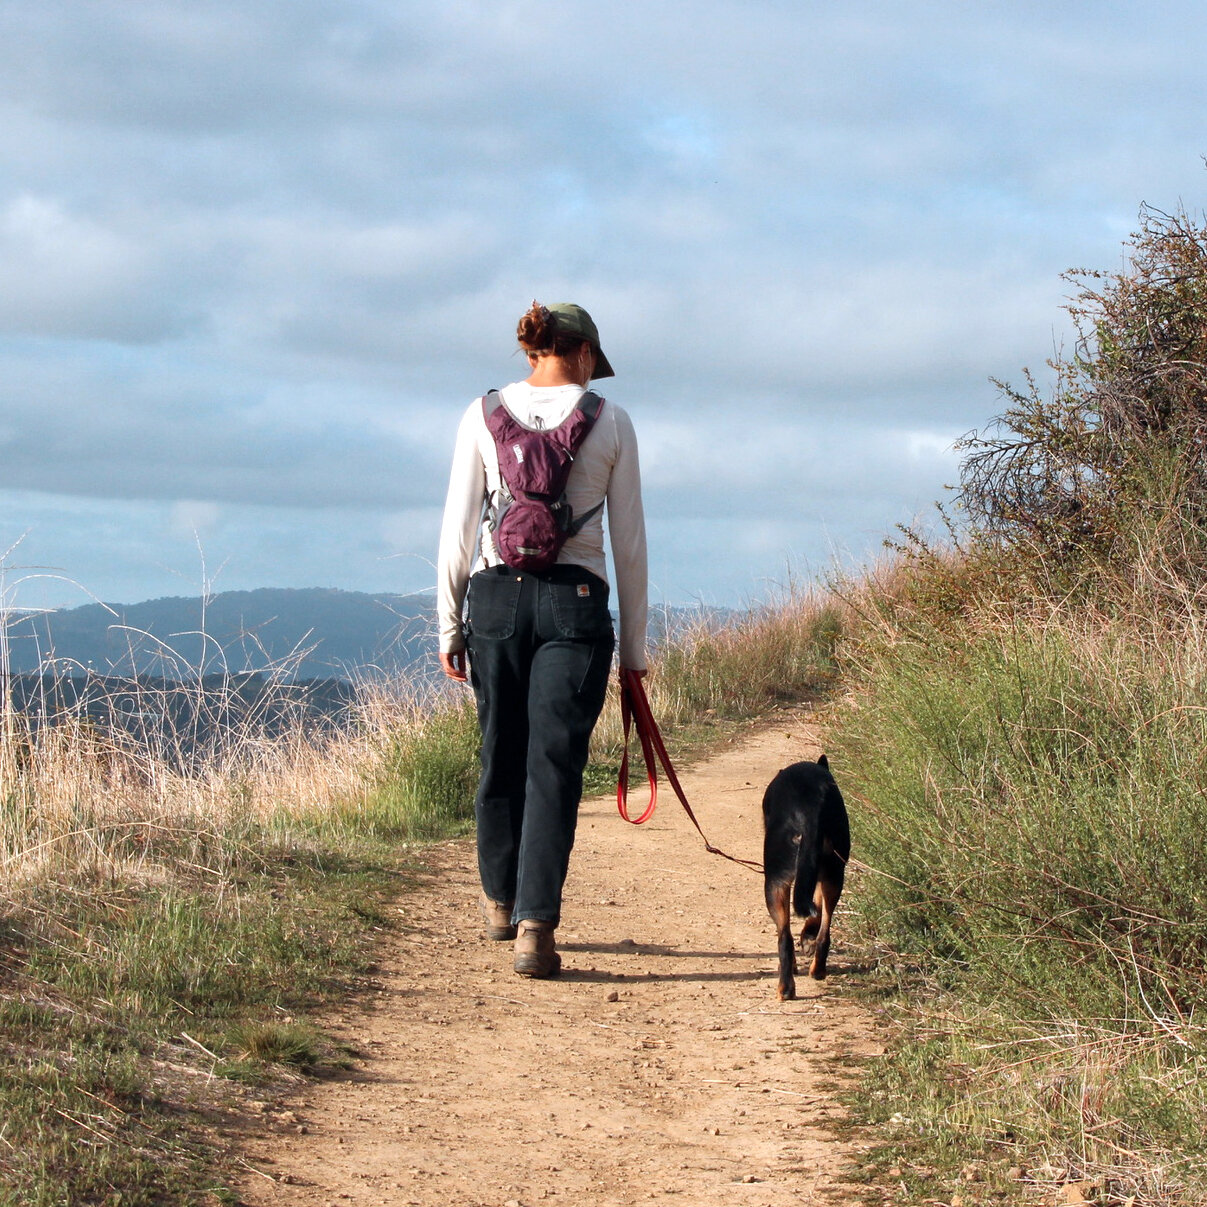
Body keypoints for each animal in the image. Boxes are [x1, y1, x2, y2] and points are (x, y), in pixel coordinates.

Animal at [762, 753, 849, 999]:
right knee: (824, 933)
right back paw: (816, 969)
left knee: (784, 938)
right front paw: (809, 934)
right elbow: (816, 908)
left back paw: (785, 986)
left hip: (774, 884)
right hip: (834, 875)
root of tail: (808, 805)